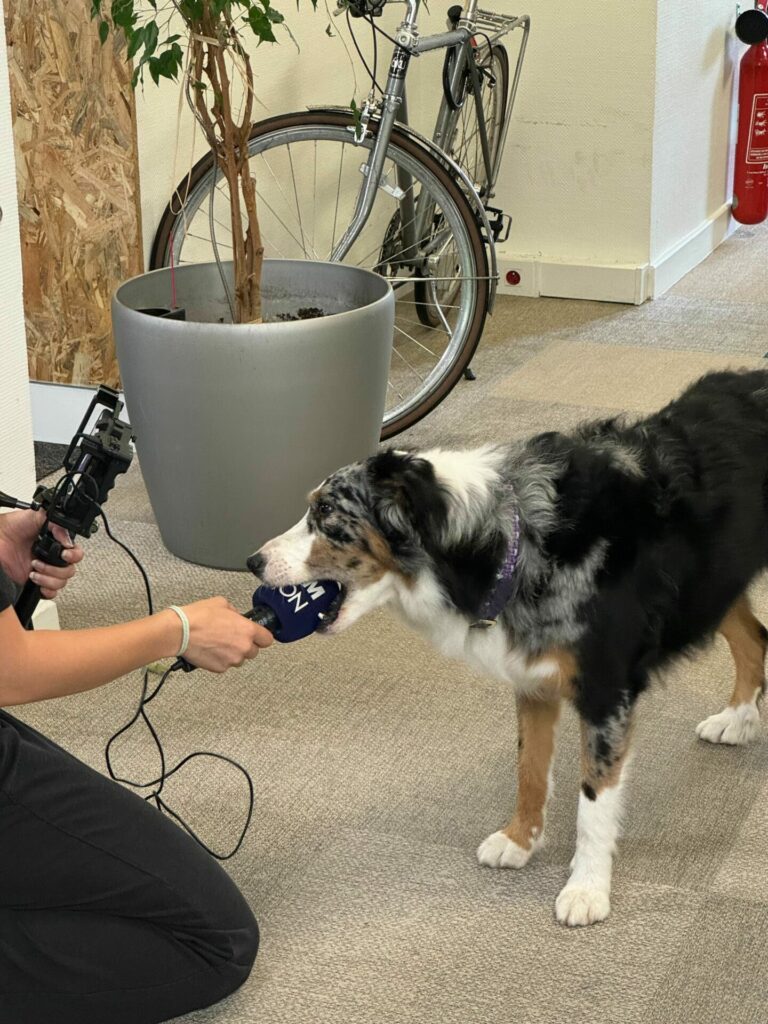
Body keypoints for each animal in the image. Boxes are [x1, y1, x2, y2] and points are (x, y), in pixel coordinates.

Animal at [249, 370, 768, 929]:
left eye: (325, 512)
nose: (253, 561)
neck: (505, 543)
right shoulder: (533, 678)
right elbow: (530, 768)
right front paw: (520, 841)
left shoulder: (606, 691)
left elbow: (593, 800)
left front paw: (586, 888)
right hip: (716, 580)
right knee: (755, 639)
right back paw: (738, 718)